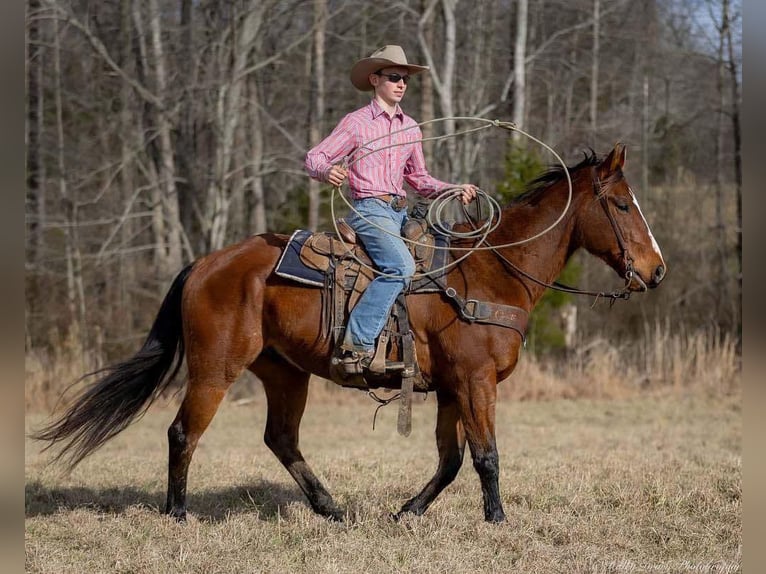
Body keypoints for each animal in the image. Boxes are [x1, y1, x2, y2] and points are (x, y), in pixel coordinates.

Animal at [33, 144, 664, 528]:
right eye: (623, 204)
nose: (656, 271)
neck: (491, 273)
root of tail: (206, 263)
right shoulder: (475, 381)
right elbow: (485, 455)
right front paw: (498, 522)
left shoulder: (450, 387)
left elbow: (451, 458)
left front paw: (407, 513)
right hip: (216, 367)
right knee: (183, 432)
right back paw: (178, 514)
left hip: (284, 372)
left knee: (280, 439)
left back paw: (331, 509)